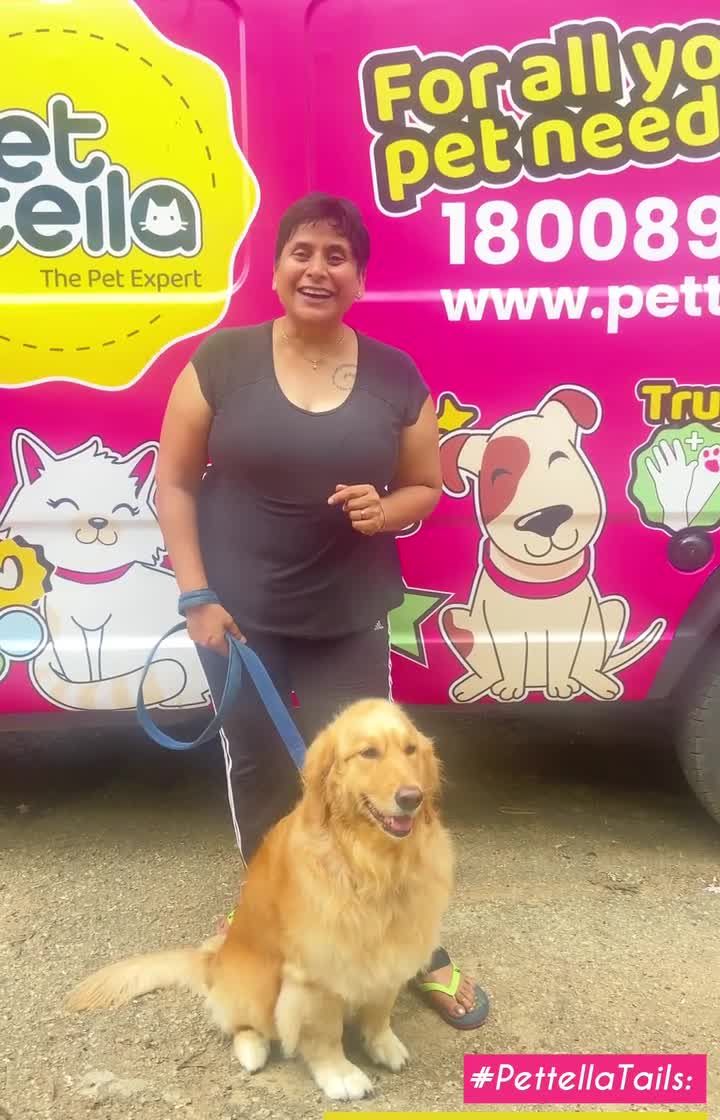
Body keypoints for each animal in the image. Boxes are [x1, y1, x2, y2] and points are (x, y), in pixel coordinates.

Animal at [0, 430, 210, 713]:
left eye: (122, 510)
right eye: (65, 503)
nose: (98, 521)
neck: (92, 581)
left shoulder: (123, 630)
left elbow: (112, 673)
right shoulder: (66, 629)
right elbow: (84, 673)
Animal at [65, 698, 453, 1102]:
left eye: (410, 750)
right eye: (368, 753)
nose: (412, 798)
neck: (371, 863)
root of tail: (213, 960)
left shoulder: (395, 949)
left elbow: (380, 1008)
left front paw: (382, 1043)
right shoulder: (314, 972)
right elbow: (323, 1033)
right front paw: (340, 1074)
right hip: (256, 984)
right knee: (240, 1024)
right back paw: (252, 1048)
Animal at [439, 386, 665, 704]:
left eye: (559, 458)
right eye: (498, 476)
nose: (545, 519)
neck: (540, 578)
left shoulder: (570, 626)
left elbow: (562, 655)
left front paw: (560, 685)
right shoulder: (504, 629)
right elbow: (511, 659)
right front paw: (511, 687)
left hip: (611, 611)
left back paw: (596, 681)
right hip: (456, 619)